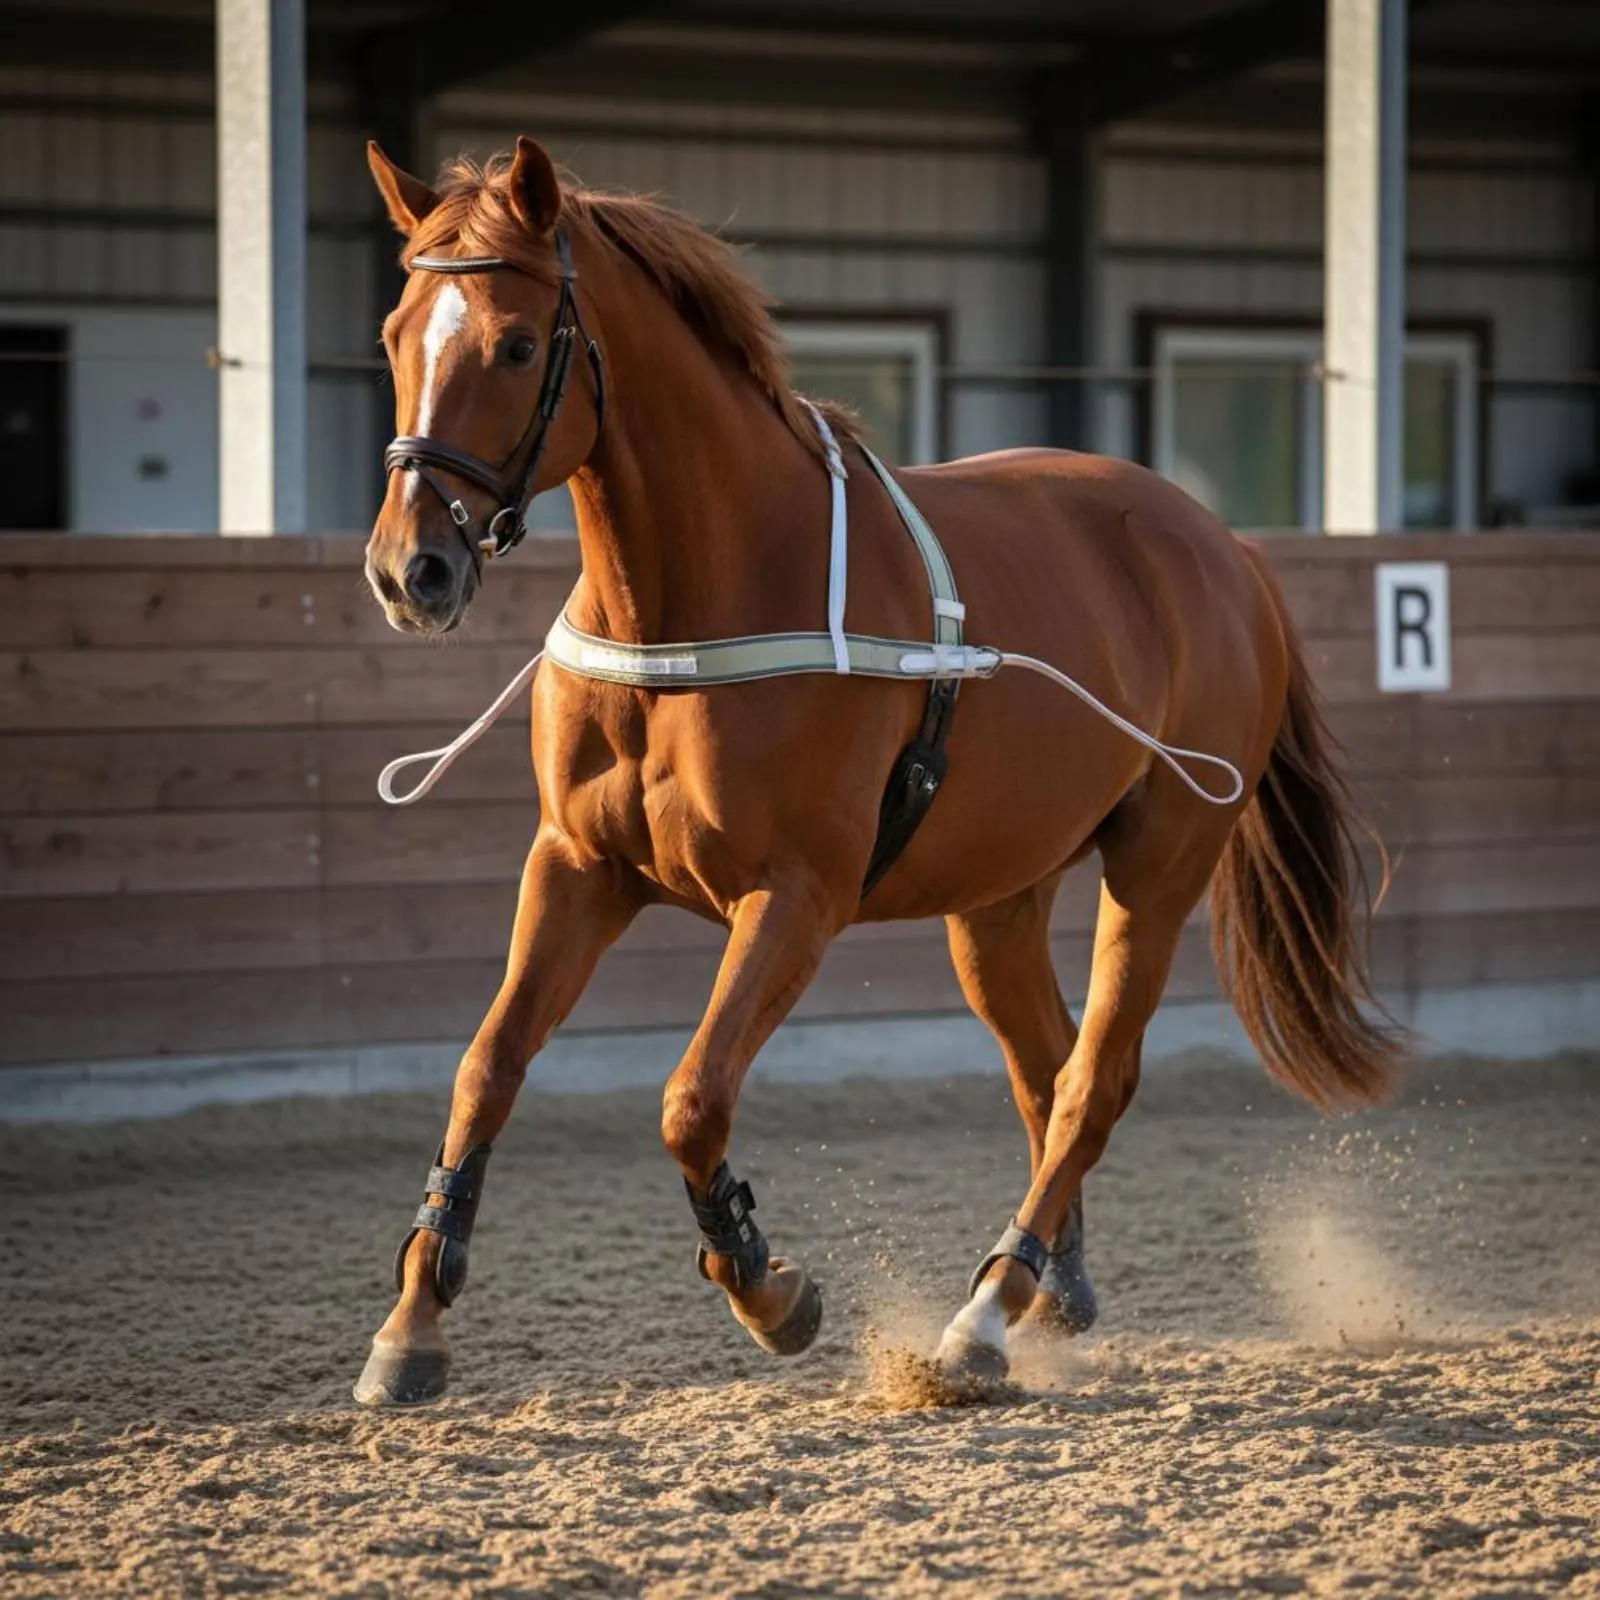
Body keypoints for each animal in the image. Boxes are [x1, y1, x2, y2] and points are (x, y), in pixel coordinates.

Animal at [353, 135, 1402, 1407]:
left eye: (512, 344)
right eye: (395, 334)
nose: (410, 570)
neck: (700, 603)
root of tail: (1223, 548)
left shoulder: (794, 897)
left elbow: (691, 1097)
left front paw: (767, 1287)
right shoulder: (576, 869)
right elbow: (486, 1066)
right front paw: (412, 1324)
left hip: (1157, 870)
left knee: (1094, 1080)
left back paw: (982, 1320)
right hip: (996, 902)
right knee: (1045, 1071)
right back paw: (1051, 1286)